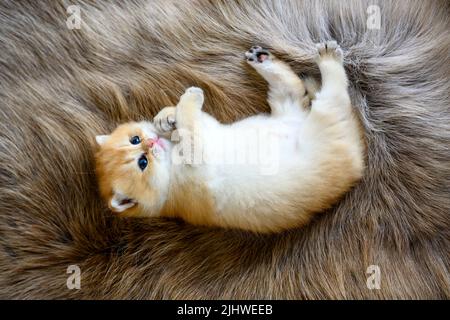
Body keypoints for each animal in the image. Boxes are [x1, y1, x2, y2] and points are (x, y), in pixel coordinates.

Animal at [96, 42, 366, 232]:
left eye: (135, 139)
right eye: (142, 163)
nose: (151, 143)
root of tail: (357, 165)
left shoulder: (208, 128)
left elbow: (186, 120)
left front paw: (165, 117)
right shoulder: (198, 154)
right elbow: (190, 122)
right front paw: (188, 99)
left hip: (287, 106)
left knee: (292, 89)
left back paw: (262, 59)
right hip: (326, 116)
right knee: (333, 92)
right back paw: (328, 58)